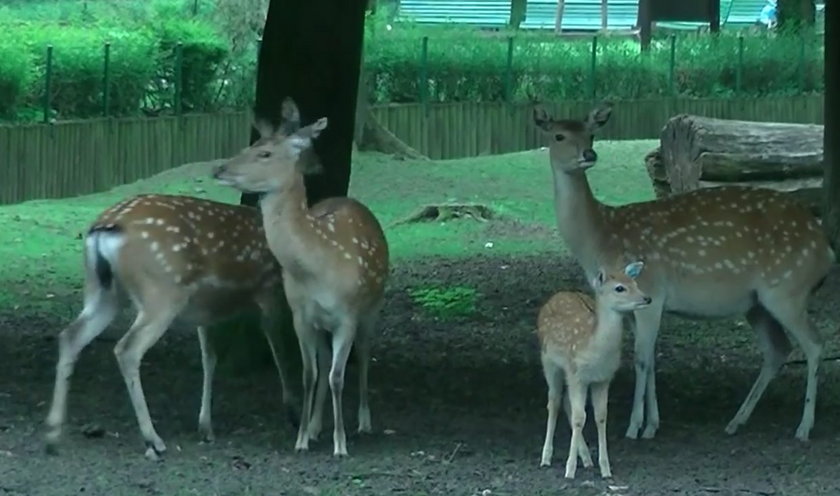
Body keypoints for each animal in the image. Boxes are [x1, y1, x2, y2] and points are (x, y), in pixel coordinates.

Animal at [42, 101, 318, 462]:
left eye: (264, 152)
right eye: (255, 147)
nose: (221, 169)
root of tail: (104, 228)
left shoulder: (206, 307)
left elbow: (209, 359)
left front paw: (206, 426)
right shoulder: (269, 289)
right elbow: (280, 350)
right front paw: (293, 411)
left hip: (103, 290)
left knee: (71, 336)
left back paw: (53, 435)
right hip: (161, 291)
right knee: (127, 349)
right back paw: (152, 439)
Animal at [213, 99, 390, 460]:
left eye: (264, 153)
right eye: (251, 144)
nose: (219, 169)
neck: (315, 269)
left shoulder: (347, 315)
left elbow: (337, 377)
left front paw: (341, 444)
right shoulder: (300, 315)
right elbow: (310, 374)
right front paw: (302, 438)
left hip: (373, 305)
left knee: (365, 354)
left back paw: (364, 421)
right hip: (322, 323)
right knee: (322, 363)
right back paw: (316, 425)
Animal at [536, 102, 836, 444]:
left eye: (591, 133)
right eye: (558, 135)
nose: (588, 153)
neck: (599, 240)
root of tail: (825, 247)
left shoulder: (651, 290)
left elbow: (641, 359)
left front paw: (634, 426)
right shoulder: (632, 305)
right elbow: (651, 359)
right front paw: (652, 424)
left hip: (788, 289)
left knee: (814, 344)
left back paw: (804, 426)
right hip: (757, 302)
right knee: (778, 349)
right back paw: (736, 420)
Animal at [540, 260, 648, 480]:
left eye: (635, 282)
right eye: (619, 288)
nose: (646, 298)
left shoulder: (603, 378)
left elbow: (600, 416)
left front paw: (606, 469)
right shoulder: (576, 374)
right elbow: (579, 418)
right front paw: (569, 470)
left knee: (566, 402)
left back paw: (587, 458)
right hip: (549, 362)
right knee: (554, 402)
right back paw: (546, 457)